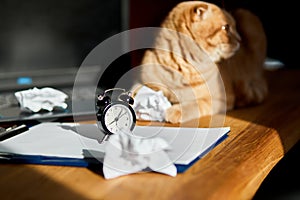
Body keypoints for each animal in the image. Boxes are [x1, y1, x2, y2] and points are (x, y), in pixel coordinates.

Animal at [131, 1, 268, 123]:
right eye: (226, 28)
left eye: (234, 27)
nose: (240, 39)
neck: (182, 67)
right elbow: (135, 90)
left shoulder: (220, 99)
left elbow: (195, 104)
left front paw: (173, 111)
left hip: (247, 18)